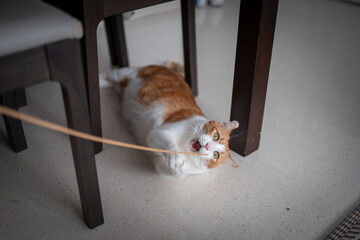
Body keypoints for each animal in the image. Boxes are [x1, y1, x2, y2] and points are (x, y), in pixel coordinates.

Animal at [100, 62, 239, 178]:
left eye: (216, 155)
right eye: (216, 135)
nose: (207, 145)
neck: (183, 146)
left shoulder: (159, 163)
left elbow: (176, 173)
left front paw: (182, 167)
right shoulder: (160, 132)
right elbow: (168, 144)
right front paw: (176, 157)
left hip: (122, 86)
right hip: (127, 74)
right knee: (110, 74)